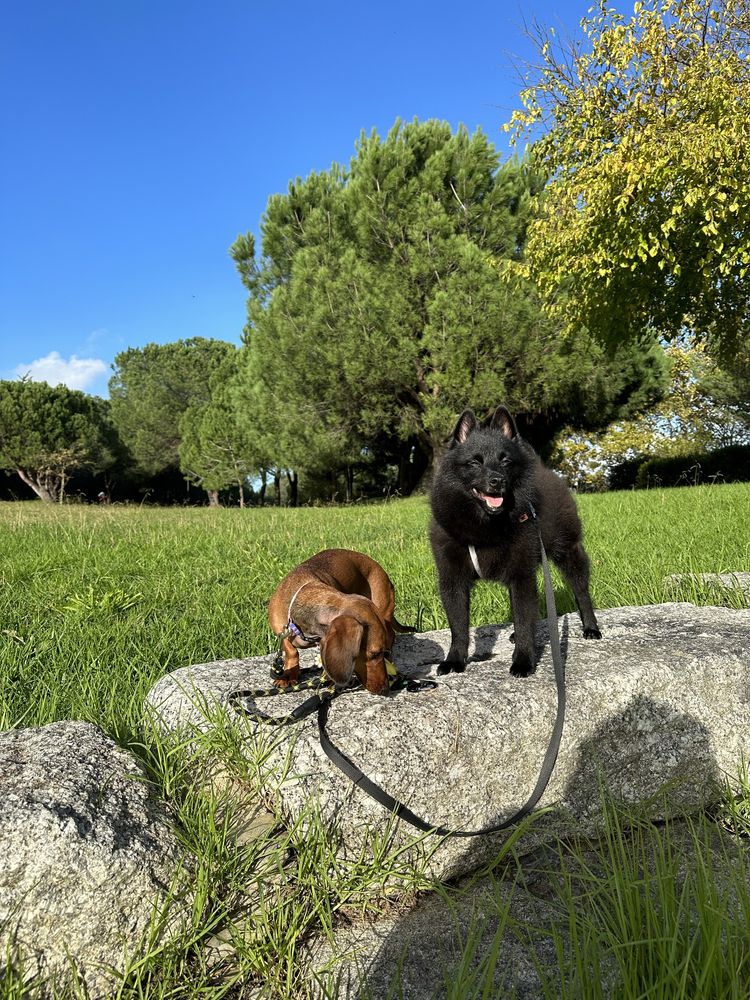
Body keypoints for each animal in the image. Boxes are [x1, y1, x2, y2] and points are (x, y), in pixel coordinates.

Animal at [432, 402, 604, 676]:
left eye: (505, 460)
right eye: (475, 462)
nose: (497, 481)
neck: (485, 526)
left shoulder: (521, 576)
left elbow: (524, 620)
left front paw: (523, 660)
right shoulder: (453, 579)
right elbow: (458, 627)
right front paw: (454, 660)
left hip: (570, 553)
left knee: (581, 592)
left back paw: (590, 627)